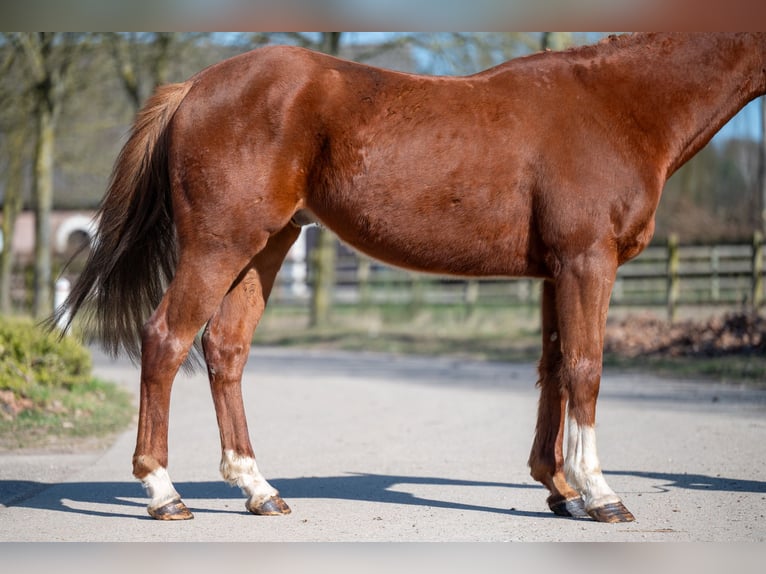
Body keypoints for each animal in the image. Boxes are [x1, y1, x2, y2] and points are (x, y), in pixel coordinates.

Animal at [58, 32, 766, 528]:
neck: (616, 103)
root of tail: (195, 85)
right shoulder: (587, 262)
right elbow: (586, 368)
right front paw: (599, 493)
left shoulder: (555, 270)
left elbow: (555, 368)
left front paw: (558, 487)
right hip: (219, 246)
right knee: (166, 339)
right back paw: (163, 493)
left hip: (265, 248)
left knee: (224, 349)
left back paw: (258, 489)